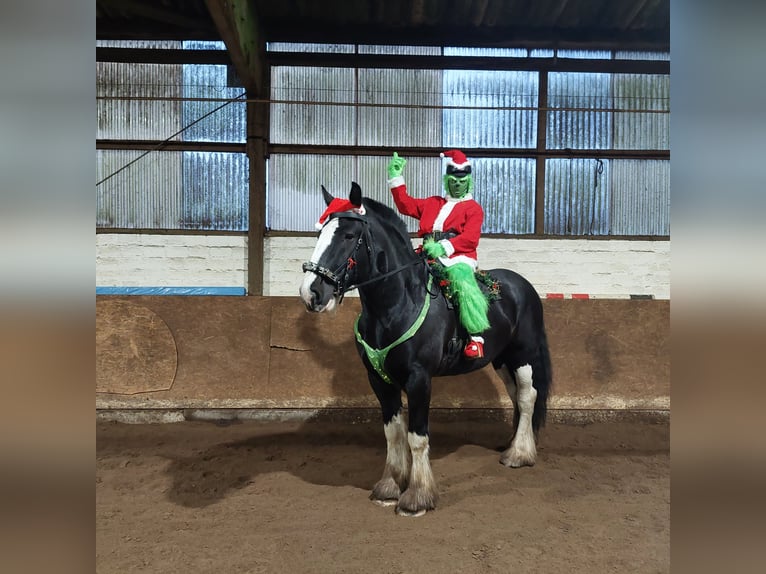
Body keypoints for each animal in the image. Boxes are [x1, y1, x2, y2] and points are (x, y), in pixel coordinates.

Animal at [300, 183, 552, 516]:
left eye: (349, 236)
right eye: (320, 233)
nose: (311, 292)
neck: (396, 306)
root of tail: (522, 285)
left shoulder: (419, 379)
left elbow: (417, 437)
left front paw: (417, 497)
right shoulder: (379, 380)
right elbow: (393, 434)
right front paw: (390, 486)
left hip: (523, 355)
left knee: (527, 396)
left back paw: (519, 455)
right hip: (501, 360)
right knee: (516, 397)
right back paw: (511, 444)